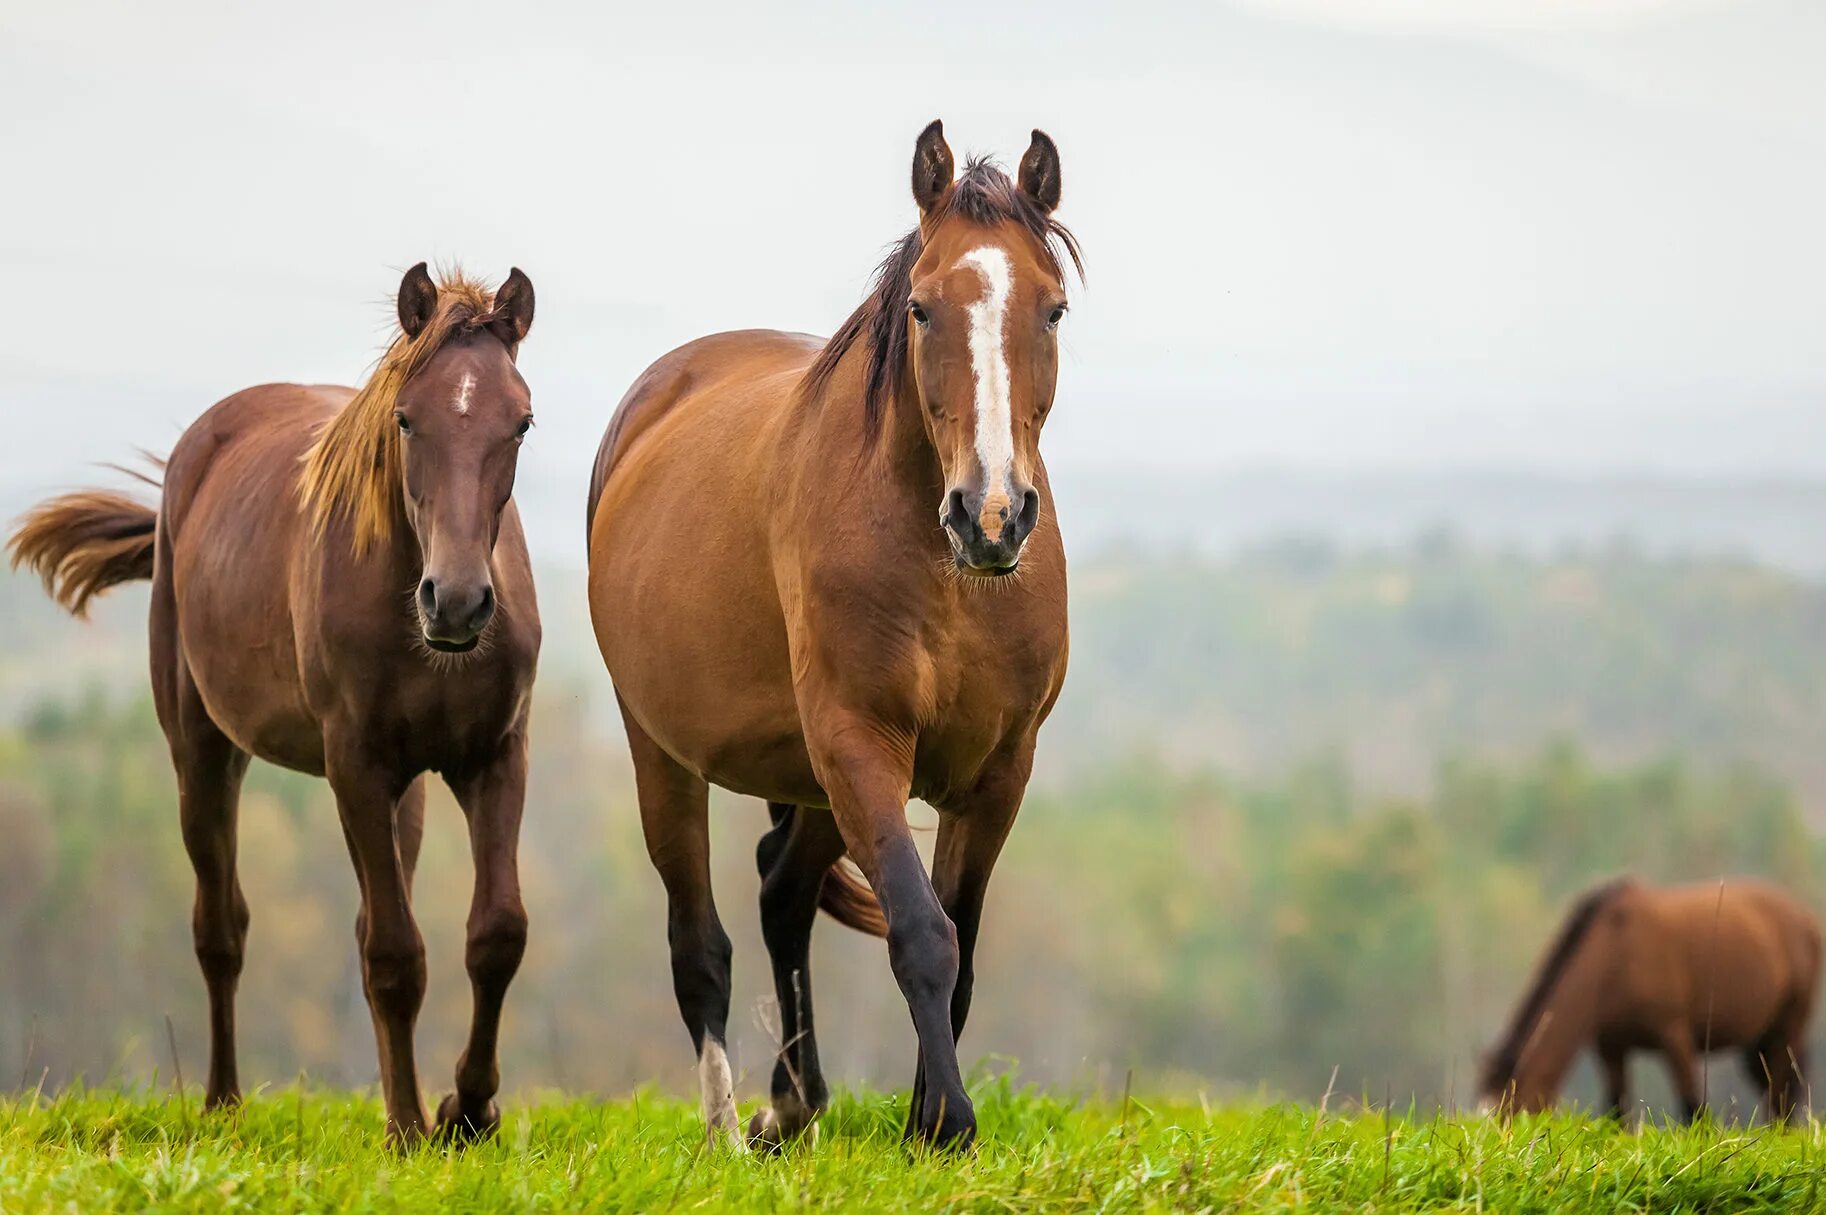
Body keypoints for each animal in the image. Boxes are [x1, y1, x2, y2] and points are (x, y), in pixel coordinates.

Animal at [12, 264, 540, 1147]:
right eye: (406, 418)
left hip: (406, 788)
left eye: (522, 422)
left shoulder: (492, 756)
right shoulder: (354, 764)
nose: (459, 602)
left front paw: (464, 1111)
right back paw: (223, 1101)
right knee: (221, 926)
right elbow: (394, 955)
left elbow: (494, 934)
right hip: (202, 752)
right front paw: (409, 1127)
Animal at [584, 120, 1073, 1147]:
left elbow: (961, 941)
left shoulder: (999, 769)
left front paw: (926, 1115)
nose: (994, 515)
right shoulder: (859, 740)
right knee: (701, 940)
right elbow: (922, 930)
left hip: (806, 773)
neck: (945, 574)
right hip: (666, 753)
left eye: (1051, 310)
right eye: (922, 309)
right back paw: (729, 1130)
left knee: (781, 889)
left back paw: (793, 1101)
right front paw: (947, 1121)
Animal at [1475, 873, 1818, 1118]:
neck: (1615, 952)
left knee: (1782, 1093)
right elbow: (1618, 1112)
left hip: (1790, 1026)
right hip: (1758, 1041)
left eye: (1512, 1113)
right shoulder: (1611, 1046)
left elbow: (1693, 1108)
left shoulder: (1675, 1037)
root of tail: (1805, 917)